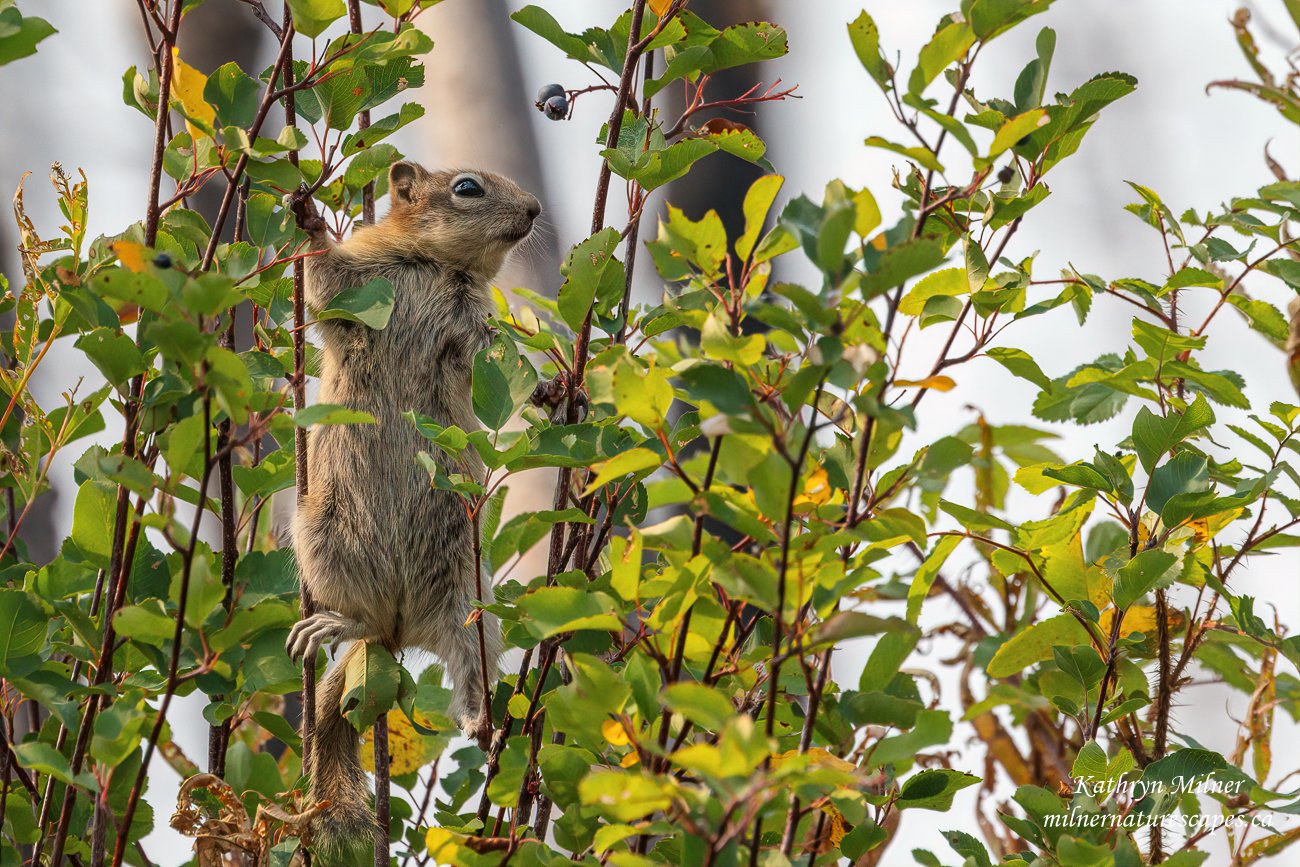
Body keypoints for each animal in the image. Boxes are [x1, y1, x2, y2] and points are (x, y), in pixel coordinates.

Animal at [287, 161, 540, 847]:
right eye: (468, 188)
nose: (535, 209)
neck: (435, 266)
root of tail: (402, 626)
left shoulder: (474, 324)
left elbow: (505, 362)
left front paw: (566, 393)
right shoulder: (361, 280)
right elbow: (323, 281)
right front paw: (310, 220)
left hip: (468, 603)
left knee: (468, 665)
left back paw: (483, 721)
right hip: (320, 535)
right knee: (364, 620)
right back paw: (335, 624)